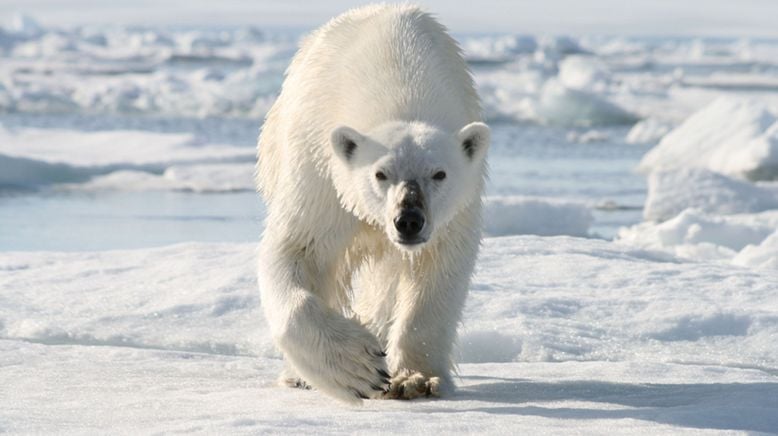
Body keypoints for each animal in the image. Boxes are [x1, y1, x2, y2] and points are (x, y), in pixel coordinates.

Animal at [258, 4, 488, 406]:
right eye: (381, 173)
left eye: (439, 173)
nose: (408, 220)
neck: (399, 74)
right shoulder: (320, 173)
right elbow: (297, 248)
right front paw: (356, 367)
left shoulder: (456, 211)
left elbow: (440, 267)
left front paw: (415, 378)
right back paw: (300, 374)